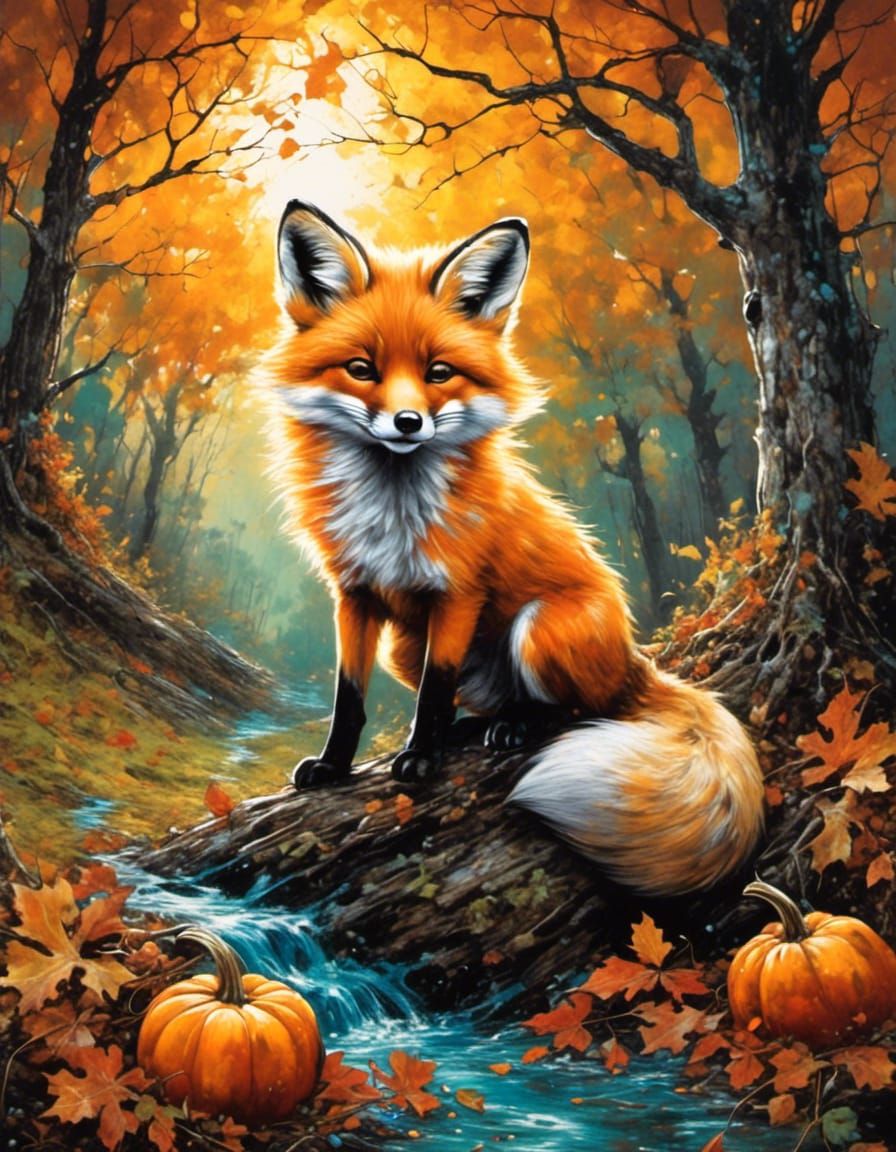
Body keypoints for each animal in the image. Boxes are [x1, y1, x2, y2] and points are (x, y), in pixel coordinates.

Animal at [265, 199, 765, 896]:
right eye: (362, 369)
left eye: (438, 373)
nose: (408, 423)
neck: (392, 512)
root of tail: (638, 662)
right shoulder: (355, 595)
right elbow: (351, 698)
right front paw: (335, 766)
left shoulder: (458, 592)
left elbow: (434, 691)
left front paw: (420, 756)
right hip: (403, 646)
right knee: (495, 700)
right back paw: (479, 725)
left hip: (540, 628)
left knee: (577, 711)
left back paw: (513, 728)